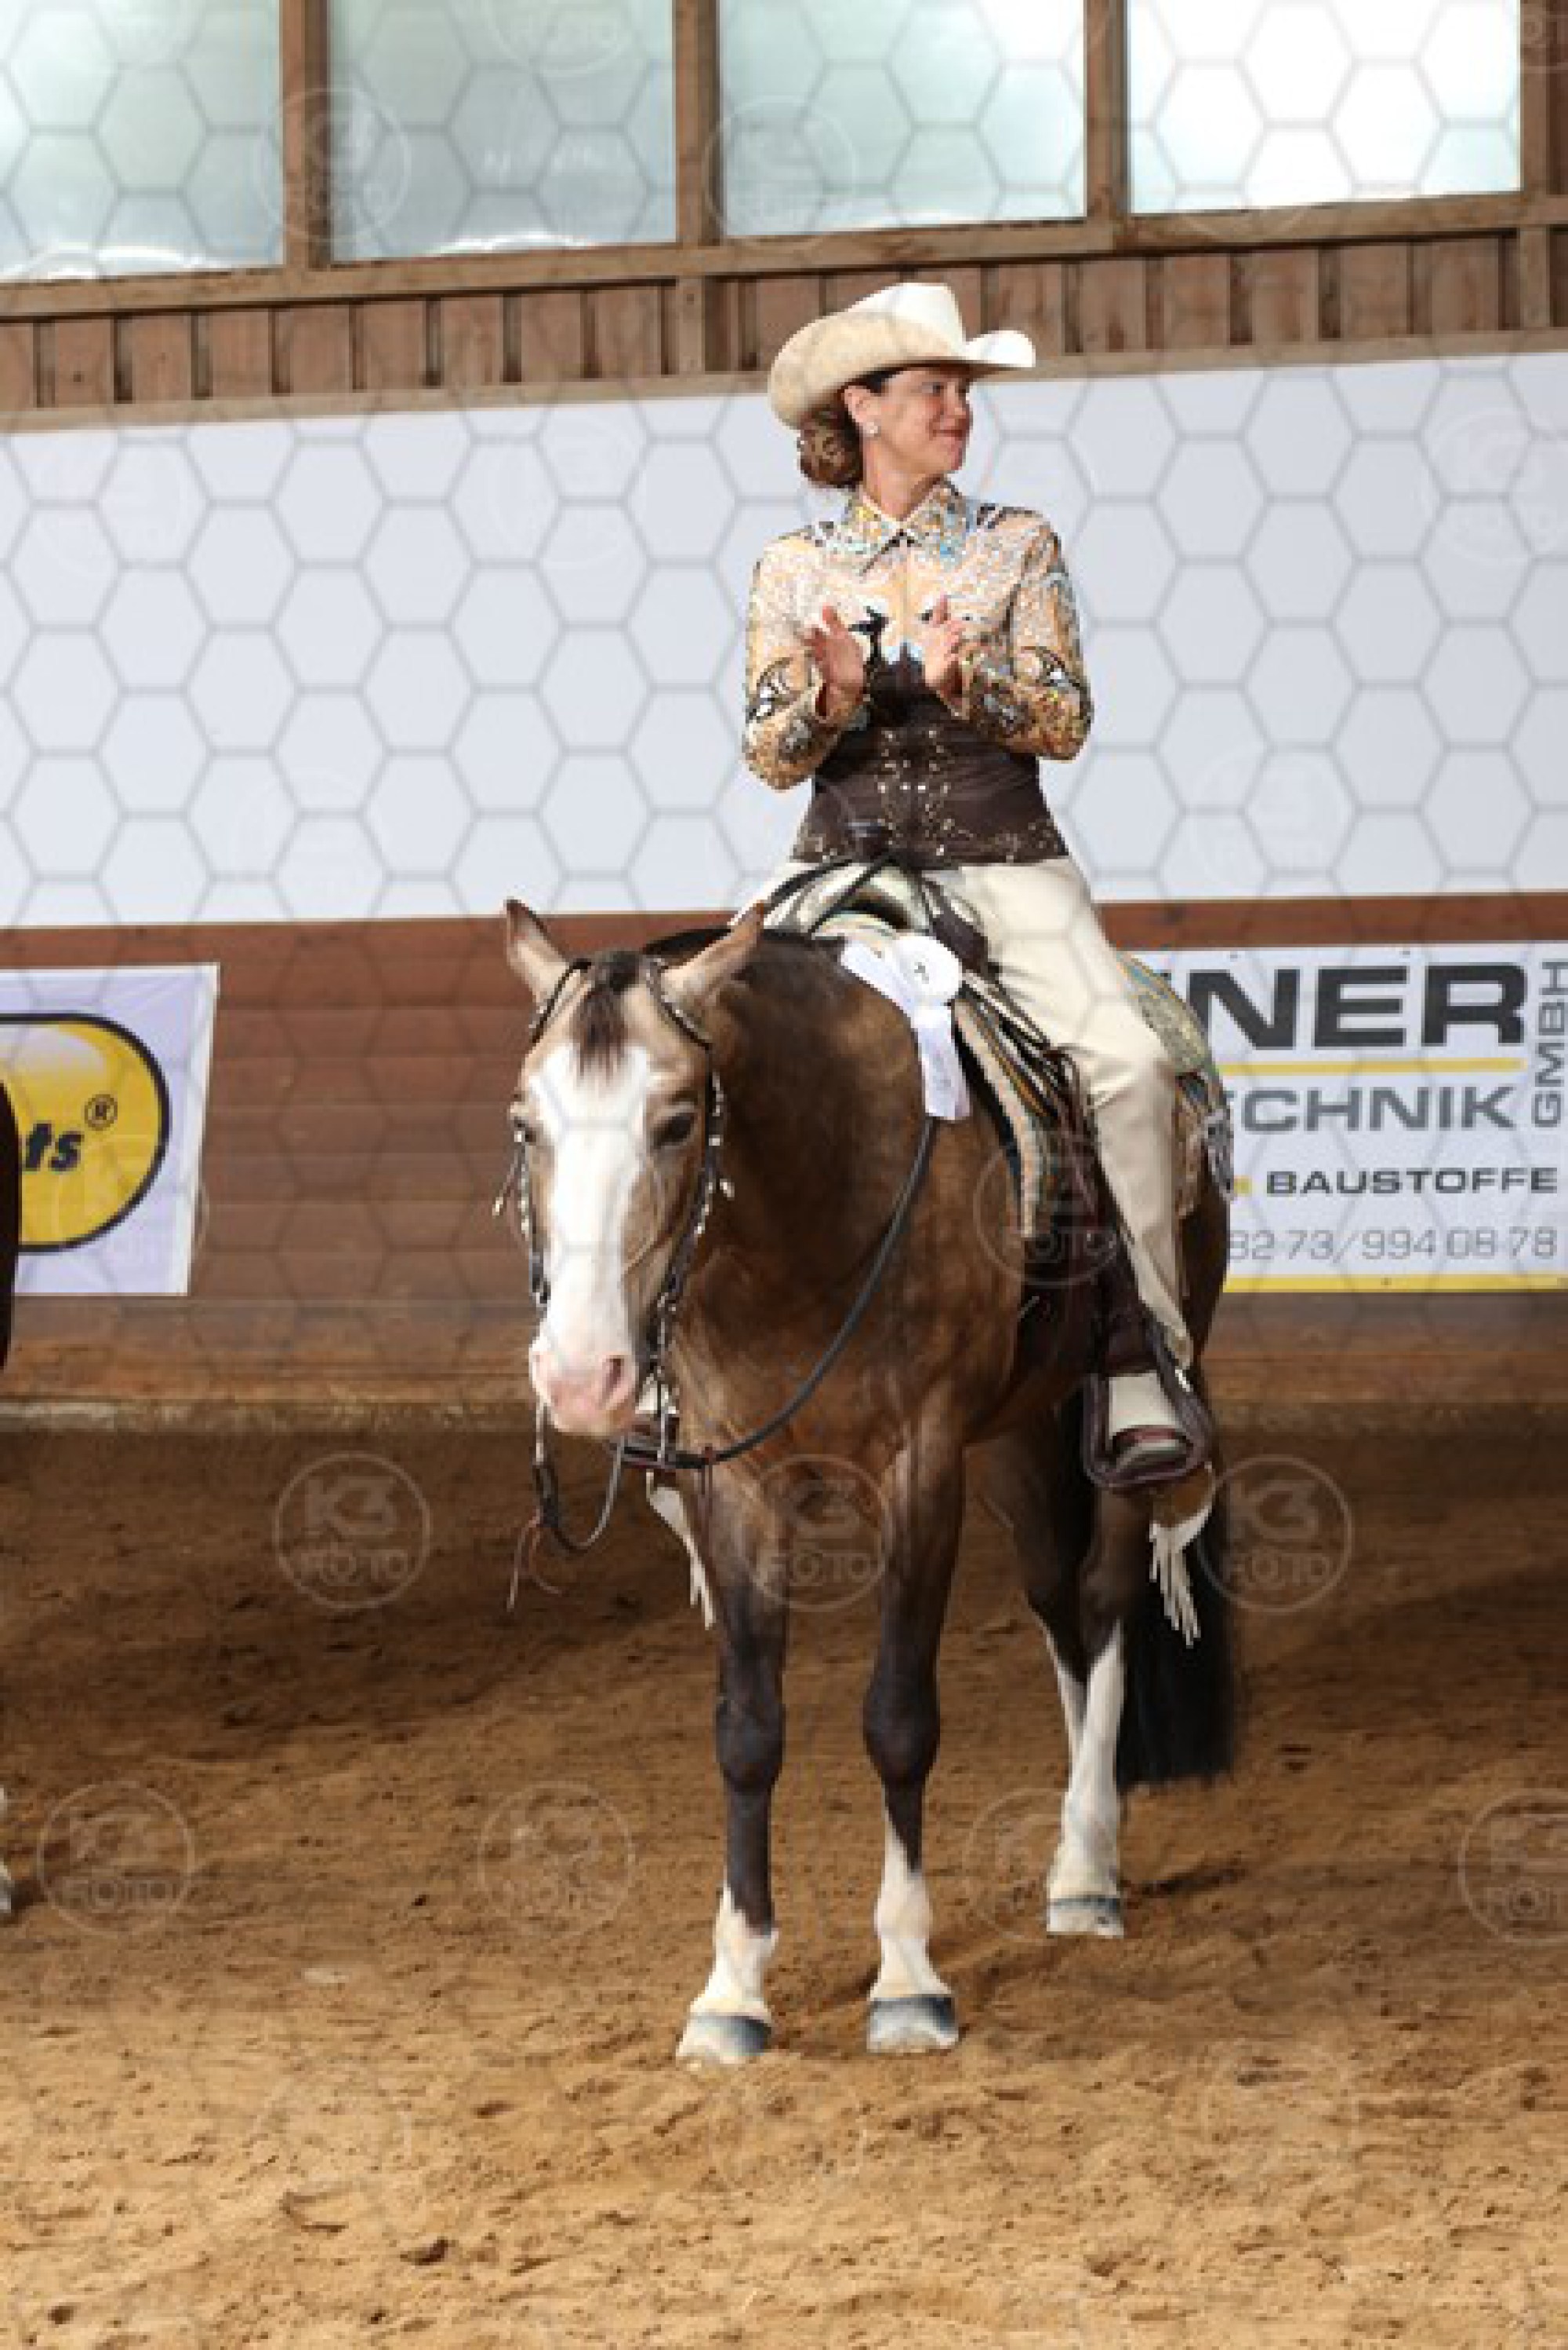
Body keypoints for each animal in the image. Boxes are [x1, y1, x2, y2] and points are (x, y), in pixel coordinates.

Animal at [501, 897, 1234, 2063]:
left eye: (676, 1122)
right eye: (528, 1125)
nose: (580, 1374)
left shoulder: (918, 1472)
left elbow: (897, 1718)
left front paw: (906, 1978)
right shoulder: (733, 1485)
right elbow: (747, 1731)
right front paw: (732, 1988)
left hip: (1132, 1397)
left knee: (1107, 1600)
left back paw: (1084, 1865)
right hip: (1020, 1433)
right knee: (1057, 1608)